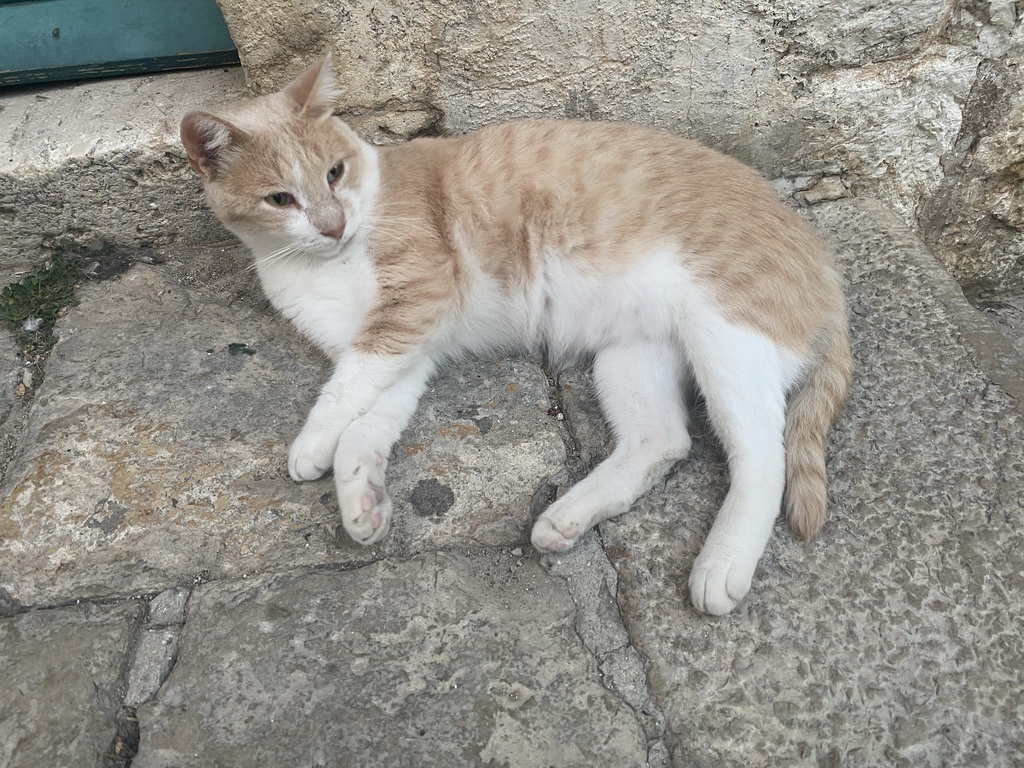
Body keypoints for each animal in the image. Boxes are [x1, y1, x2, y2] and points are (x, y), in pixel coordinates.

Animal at [180, 55, 851, 618]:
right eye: (280, 198)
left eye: (334, 173)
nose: (332, 223)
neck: (321, 261)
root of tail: (822, 256)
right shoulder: (406, 350)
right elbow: (365, 426)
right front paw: (361, 500)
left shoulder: (411, 311)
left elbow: (342, 397)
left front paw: (311, 445)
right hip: (631, 356)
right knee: (662, 442)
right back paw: (569, 518)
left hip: (725, 336)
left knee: (762, 456)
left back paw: (722, 563)